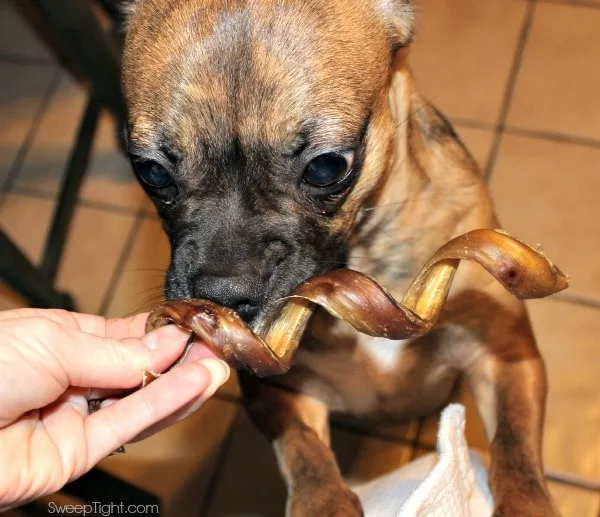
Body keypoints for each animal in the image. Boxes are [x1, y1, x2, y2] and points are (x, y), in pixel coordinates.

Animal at [120, 2, 556, 512]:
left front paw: (527, 503)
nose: (222, 294)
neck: (361, 267)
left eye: (327, 167)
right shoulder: (283, 390)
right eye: (150, 171)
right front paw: (325, 503)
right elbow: (306, 453)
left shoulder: (504, 354)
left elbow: (516, 453)